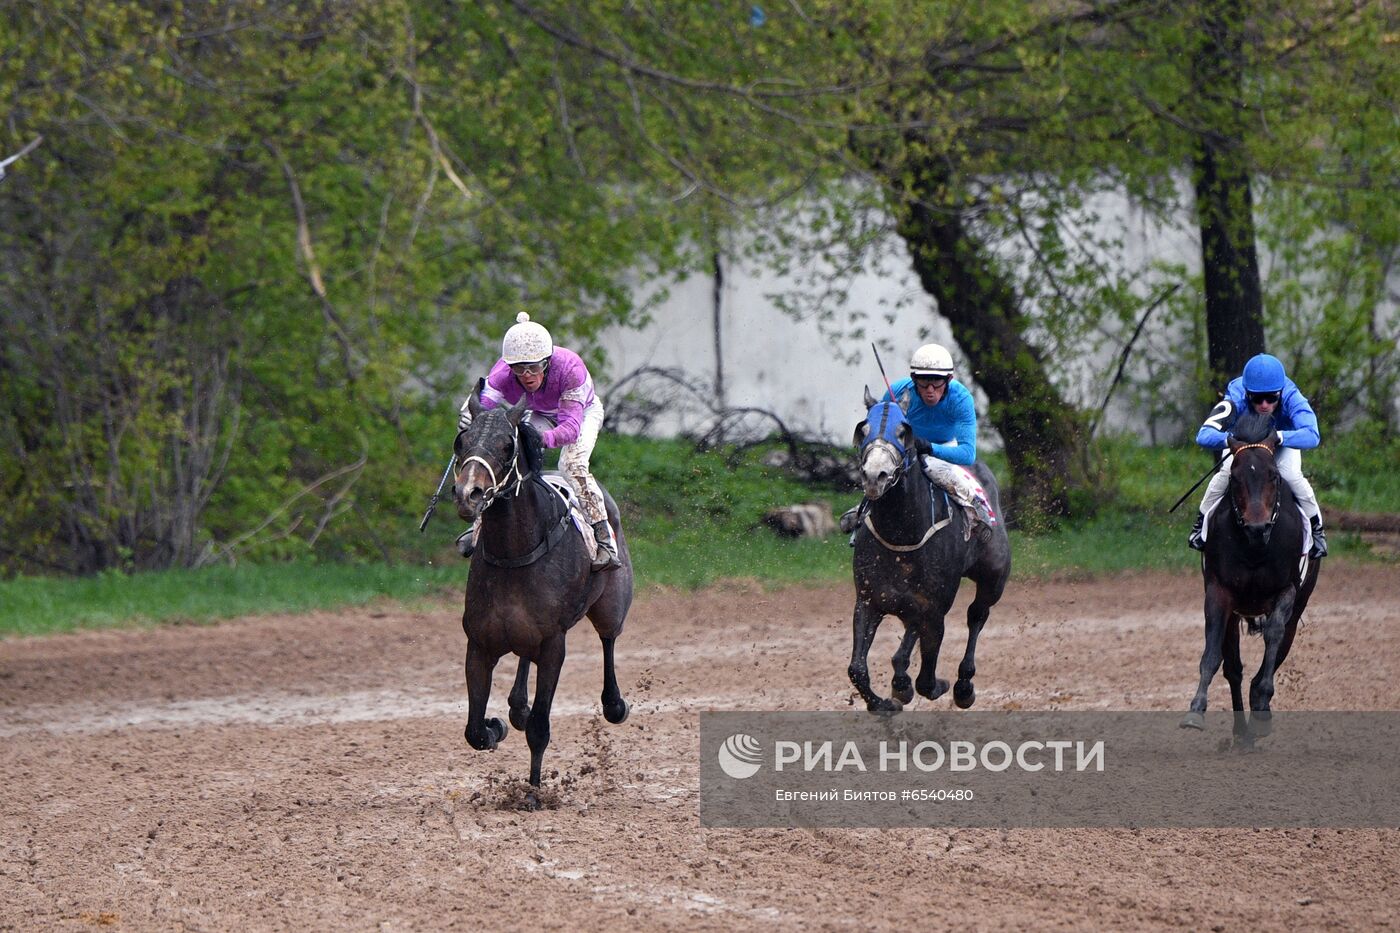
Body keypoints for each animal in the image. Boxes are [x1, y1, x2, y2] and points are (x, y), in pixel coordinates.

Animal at [845, 383, 1013, 711]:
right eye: (864, 429)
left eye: (903, 431)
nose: (874, 476)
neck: (902, 534)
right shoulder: (869, 600)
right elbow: (857, 668)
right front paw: (884, 703)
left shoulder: (935, 609)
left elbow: (926, 680)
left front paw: (938, 685)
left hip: (993, 577)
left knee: (977, 614)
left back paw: (963, 685)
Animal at [1181, 411, 1321, 739]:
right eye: (1234, 477)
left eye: (1273, 475)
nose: (1258, 527)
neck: (1256, 546)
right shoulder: (1219, 592)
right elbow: (1213, 654)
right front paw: (1196, 709)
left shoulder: (1286, 590)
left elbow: (1274, 635)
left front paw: (1263, 698)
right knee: (1233, 668)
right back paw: (1242, 734)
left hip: (1299, 605)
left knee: (1280, 643)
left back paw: (1259, 709)